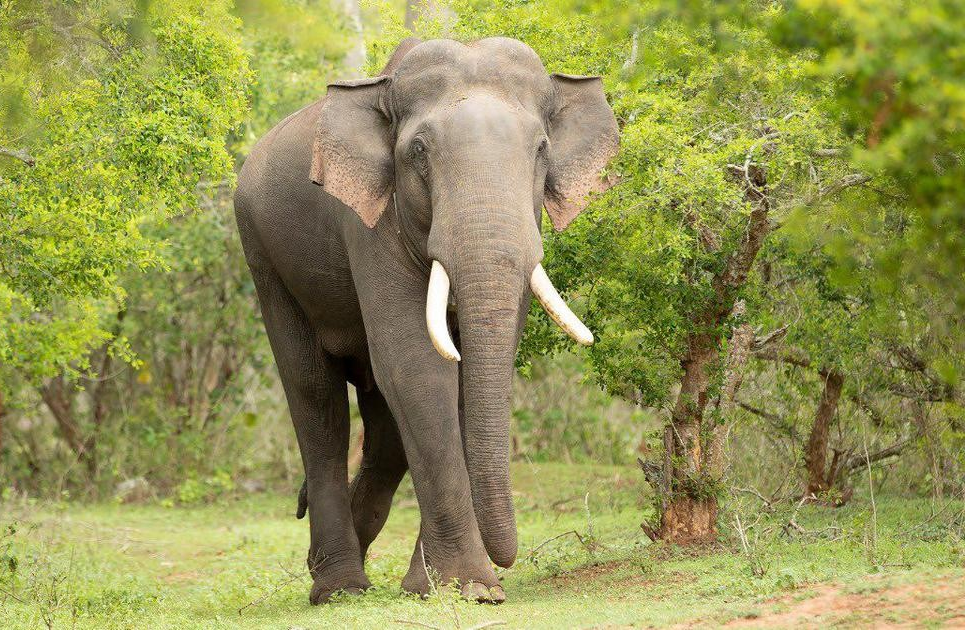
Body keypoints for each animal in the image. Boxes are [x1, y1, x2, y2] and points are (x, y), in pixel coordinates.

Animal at [233, 36, 619, 604]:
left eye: (541, 150)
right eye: (418, 152)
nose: (507, 560)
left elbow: (461, 379)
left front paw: (443, 588)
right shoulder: (370, 223)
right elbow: (417, 366)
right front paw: (472, 588)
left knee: (384, 431)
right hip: (262, 256)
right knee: (316, 398)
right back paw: (339, 588)